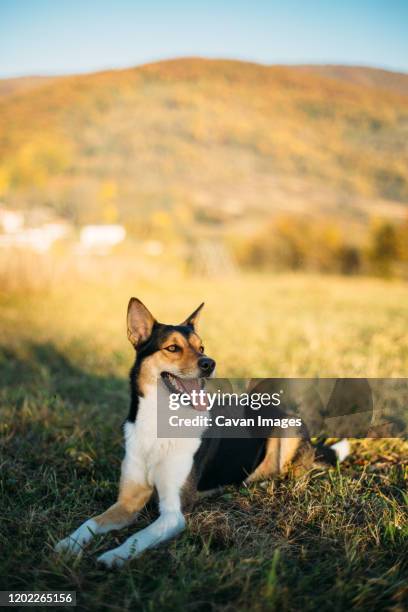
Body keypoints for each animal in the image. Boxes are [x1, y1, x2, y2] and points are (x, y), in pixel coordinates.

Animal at [54, 298, 350, 568]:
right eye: (172, 348)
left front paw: (113, 556)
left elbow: (137, 537)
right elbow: (91, 522)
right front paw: (67, 544)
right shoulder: (128, 501)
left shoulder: (173, 514)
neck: (161, 422)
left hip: (288, 427)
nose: (209, 363)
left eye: (202, 348)